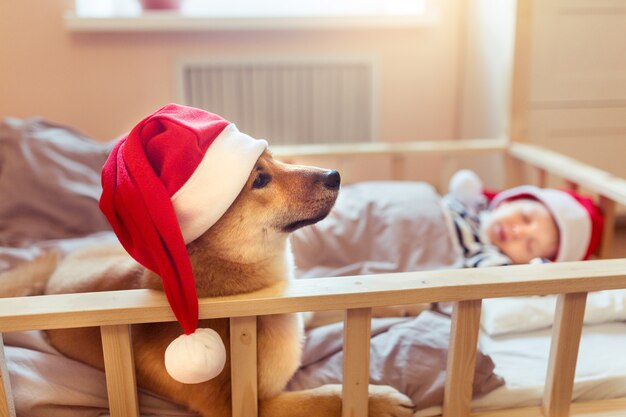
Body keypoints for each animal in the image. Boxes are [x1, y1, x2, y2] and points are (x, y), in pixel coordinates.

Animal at [45, 150, 414, 416]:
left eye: (277, 159)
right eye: (260, 179)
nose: (334, 175)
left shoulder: (301, 308)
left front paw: (404, 302)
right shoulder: (247, 403)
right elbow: (326, 396)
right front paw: (377, 400)